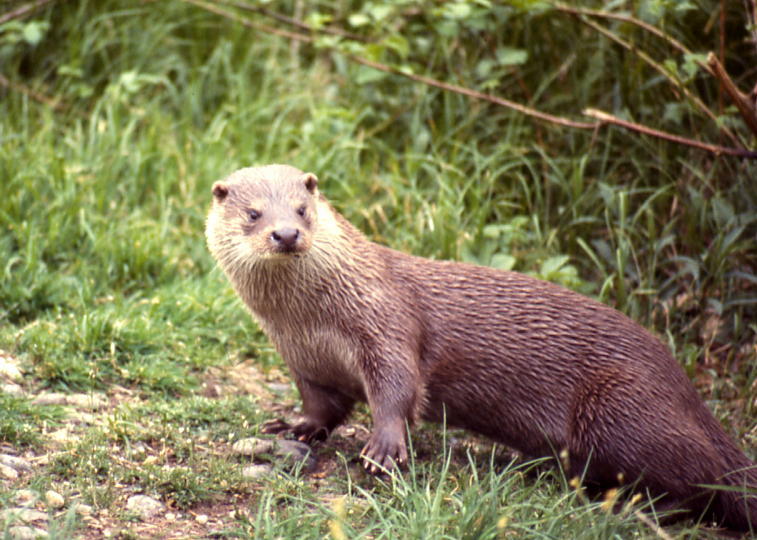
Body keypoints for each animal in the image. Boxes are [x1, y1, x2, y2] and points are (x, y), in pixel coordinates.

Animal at [204, 163, 752, 532]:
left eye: (303, 209)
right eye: (253, 213)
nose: (286, 233)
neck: (312, 324)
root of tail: (687, 391)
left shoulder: (386, 324)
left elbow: (398, 389)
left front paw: (384, 449)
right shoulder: (304, 361)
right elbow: (323, 407)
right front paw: (292, 426)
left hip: (621, 405)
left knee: (701, 479)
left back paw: (630, 505)